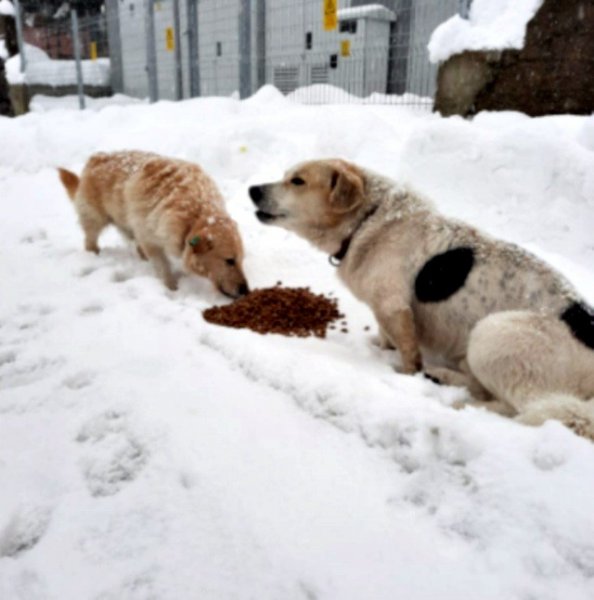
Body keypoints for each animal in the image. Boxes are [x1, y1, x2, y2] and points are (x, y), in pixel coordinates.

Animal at [58, 151, 247, 296]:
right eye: (229, 261)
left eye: (241, 260)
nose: (245, 291)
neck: (194, 213)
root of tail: (96, 158)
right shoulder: (151, 242)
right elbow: (163, 268)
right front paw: (171, 289)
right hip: (95, 219)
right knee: (90, 241)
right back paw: (95, 254)